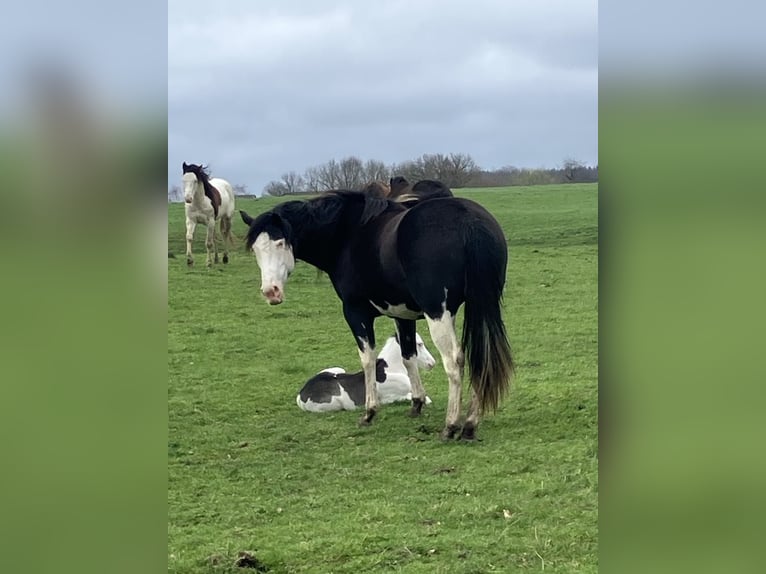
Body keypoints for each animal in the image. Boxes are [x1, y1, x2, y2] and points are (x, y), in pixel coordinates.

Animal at [297, 333, 436, 412]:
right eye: (419, 344)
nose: (432, 363)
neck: (391, 369)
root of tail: (301, 394)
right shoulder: (390, 396)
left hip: (338, 368)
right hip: (334, 405)